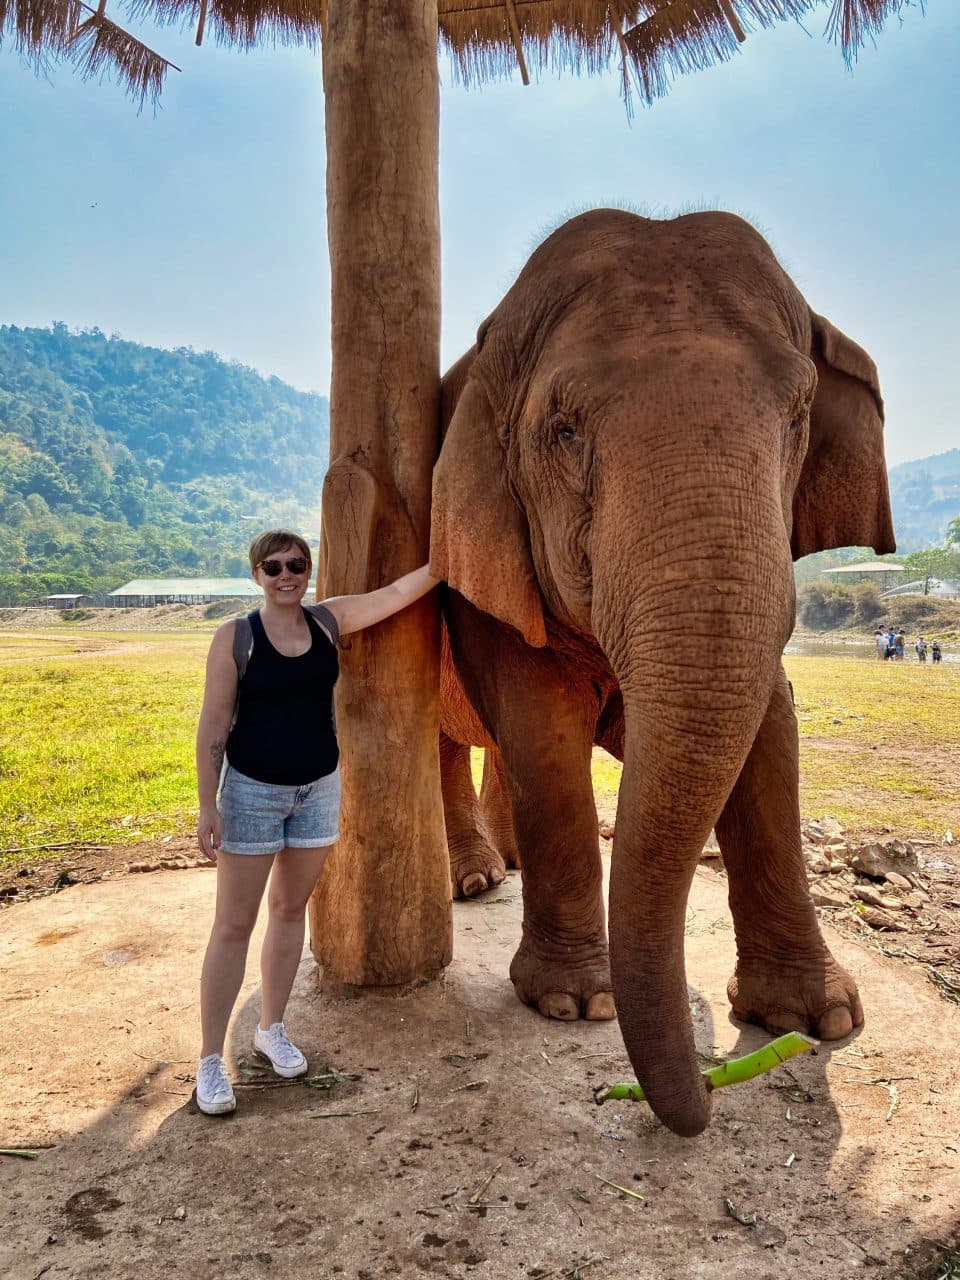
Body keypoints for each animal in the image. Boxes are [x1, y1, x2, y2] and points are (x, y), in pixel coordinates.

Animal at [429, 208, 895, 1138]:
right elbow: (541, 725)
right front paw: (576, 1005)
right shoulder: (486, 546)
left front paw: (817, 1019)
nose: (706, 1100)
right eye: (564, 431)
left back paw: (503, 868)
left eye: (798, 416)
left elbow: (770, 723)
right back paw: (475, 881)